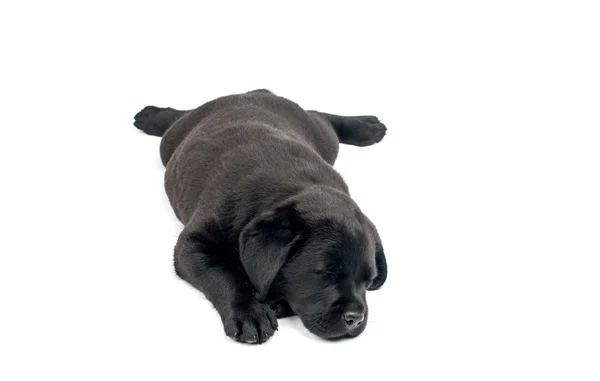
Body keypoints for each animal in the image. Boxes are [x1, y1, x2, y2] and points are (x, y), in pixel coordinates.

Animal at [133, 89, 386, 342]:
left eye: (368, 281)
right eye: (325, 273)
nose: (356, 319)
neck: (295, 188)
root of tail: (254, 93)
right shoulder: (193, 244)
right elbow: (223, 274)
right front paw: (249, 312)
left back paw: (366, 125)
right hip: (172, 140)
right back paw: (151, 115)